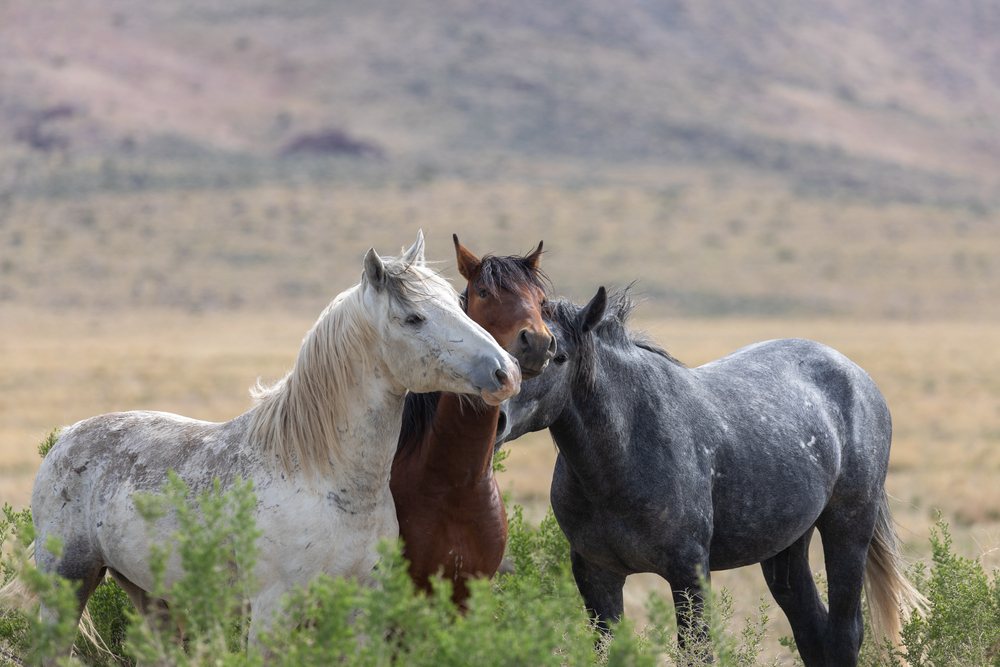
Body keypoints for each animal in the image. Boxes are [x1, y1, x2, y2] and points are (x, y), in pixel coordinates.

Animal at [21, 232, 524, 656]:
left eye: (459, 304)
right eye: (415, 318)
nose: (507, 371)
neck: (325, 479)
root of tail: (65, 437)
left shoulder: (363, 608)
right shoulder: (273, 612)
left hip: (149, 595)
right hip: (68, 584)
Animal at [496, 288, 924, 667]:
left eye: (558, 356)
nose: (496, 416)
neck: (618, 459)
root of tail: (855, 374)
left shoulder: (689, 572)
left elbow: (697, 653)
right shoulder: (596, 574)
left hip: (848, 528)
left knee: (843, 635)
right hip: (786, 546)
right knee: (811, 629)